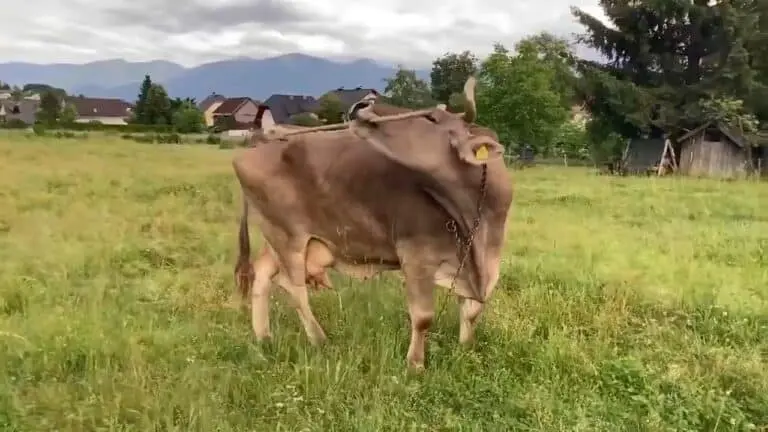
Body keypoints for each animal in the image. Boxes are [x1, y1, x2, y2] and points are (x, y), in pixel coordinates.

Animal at [232, 76, 514, 369]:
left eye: (431, 118)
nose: (362, 105)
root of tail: (261, 140)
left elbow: (471, 312)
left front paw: (466, 350)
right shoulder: (416, 257)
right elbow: (423, 317)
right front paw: (415, 365)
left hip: (278, 237)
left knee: (262, 272)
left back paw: (264, 337)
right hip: (287, 236)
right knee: (293, 288)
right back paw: (320, 340)